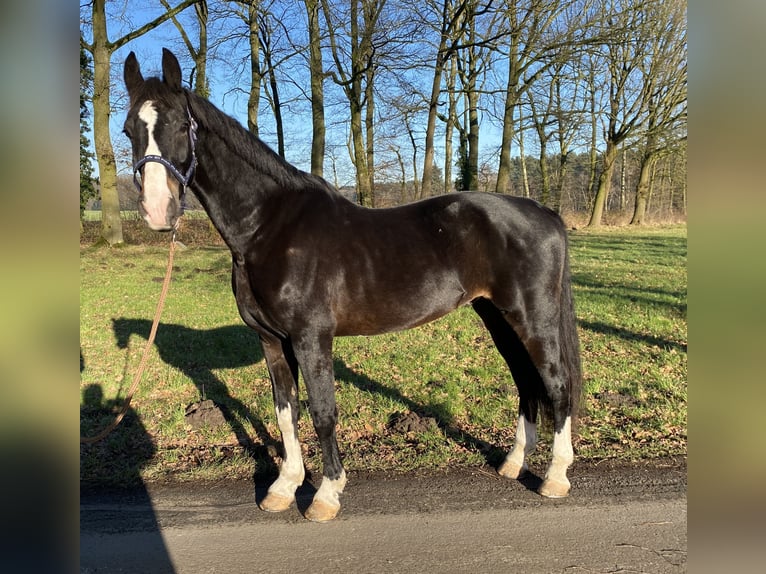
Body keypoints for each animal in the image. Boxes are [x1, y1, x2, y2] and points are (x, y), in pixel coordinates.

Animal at [124, 50, 584, 528]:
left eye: (182, 125)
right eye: (128, 130)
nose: (157, 211)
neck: (268, 227)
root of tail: (545, 212)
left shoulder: (311, 338)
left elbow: (323, 413)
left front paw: (326, 494)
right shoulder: (271, 340)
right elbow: (286, 413)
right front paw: (284, 487)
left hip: (533, 318)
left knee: (556, 384)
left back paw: (554, 477)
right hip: (496, 315)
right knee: (525, 381)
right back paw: (513, 462)